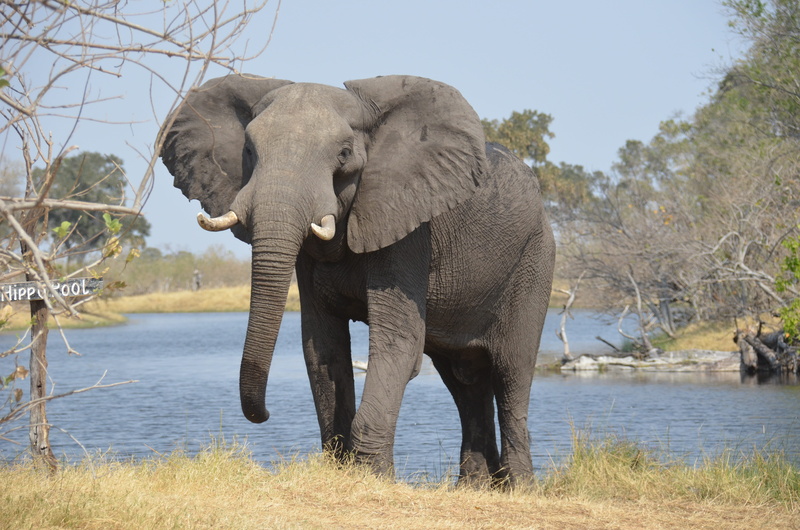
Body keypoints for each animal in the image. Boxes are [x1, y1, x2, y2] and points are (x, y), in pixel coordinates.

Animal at [159, 74, 555, 487]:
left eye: (344, 153)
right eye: (249, 150)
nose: (264, 415)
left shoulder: (408, 227)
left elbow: (399, 344)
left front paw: (375, 478)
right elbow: (322, 346)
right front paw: (343, 469)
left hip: (536, 259)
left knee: (512, 371)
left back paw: (519, 488)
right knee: (465, 380)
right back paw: (475, 487)